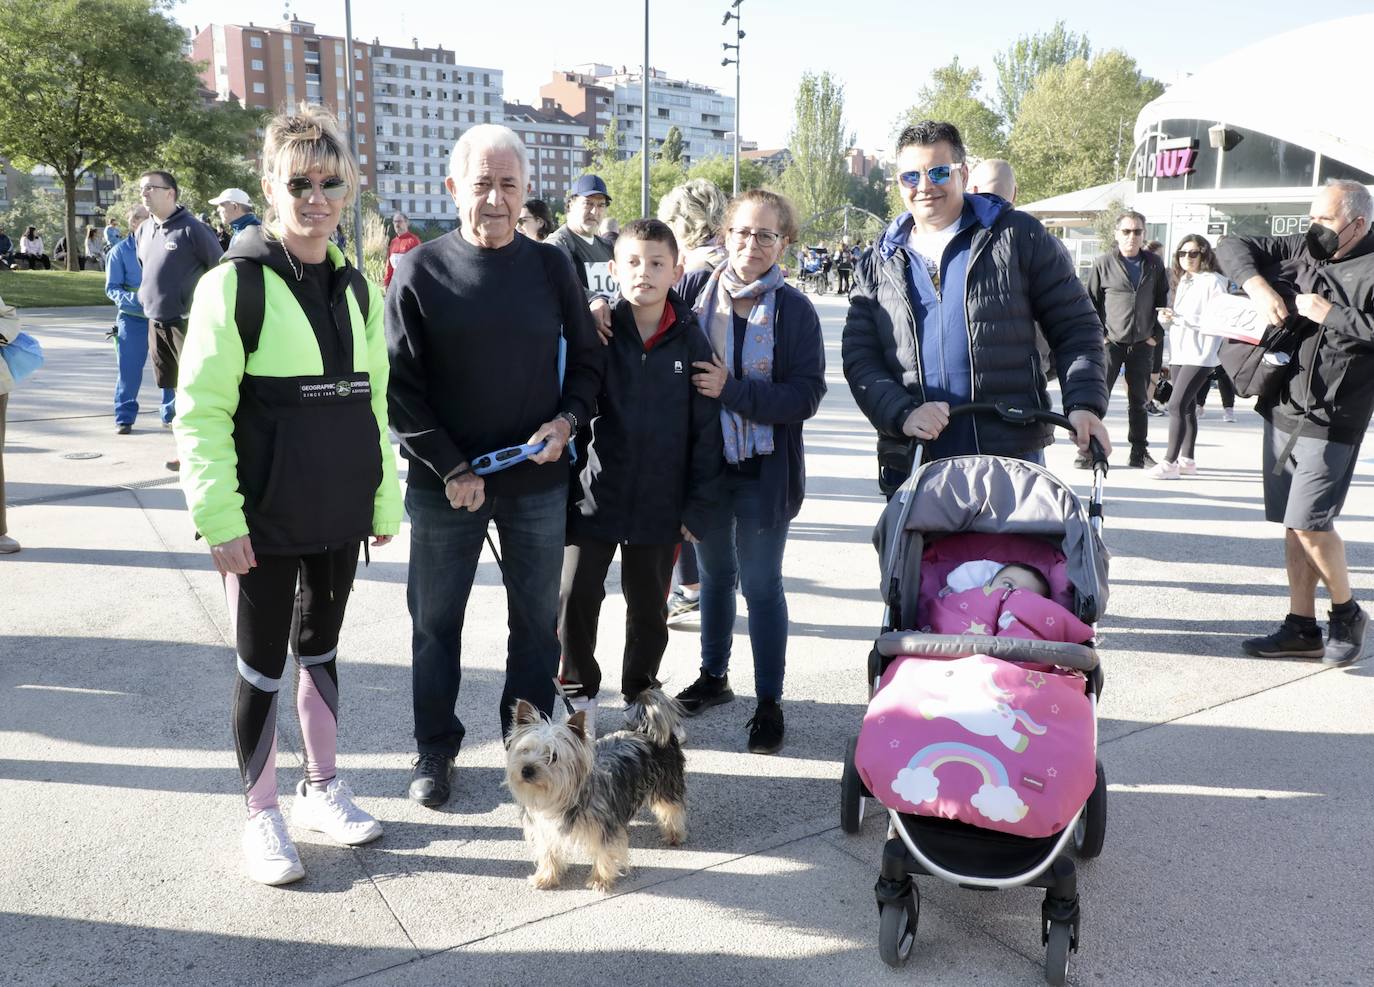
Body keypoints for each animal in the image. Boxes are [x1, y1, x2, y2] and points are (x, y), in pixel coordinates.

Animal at [508, 687, 687, 896]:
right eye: (524, 750)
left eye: (553, 756)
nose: (526, 770)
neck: (556, 799)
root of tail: (646, 731)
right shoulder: (544, 827)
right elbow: (548, 851)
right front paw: (546, 877)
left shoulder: (604, 828)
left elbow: (603, 852)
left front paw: (600, 880)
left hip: (666, 783)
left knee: (671, 808)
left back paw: (674, 834)